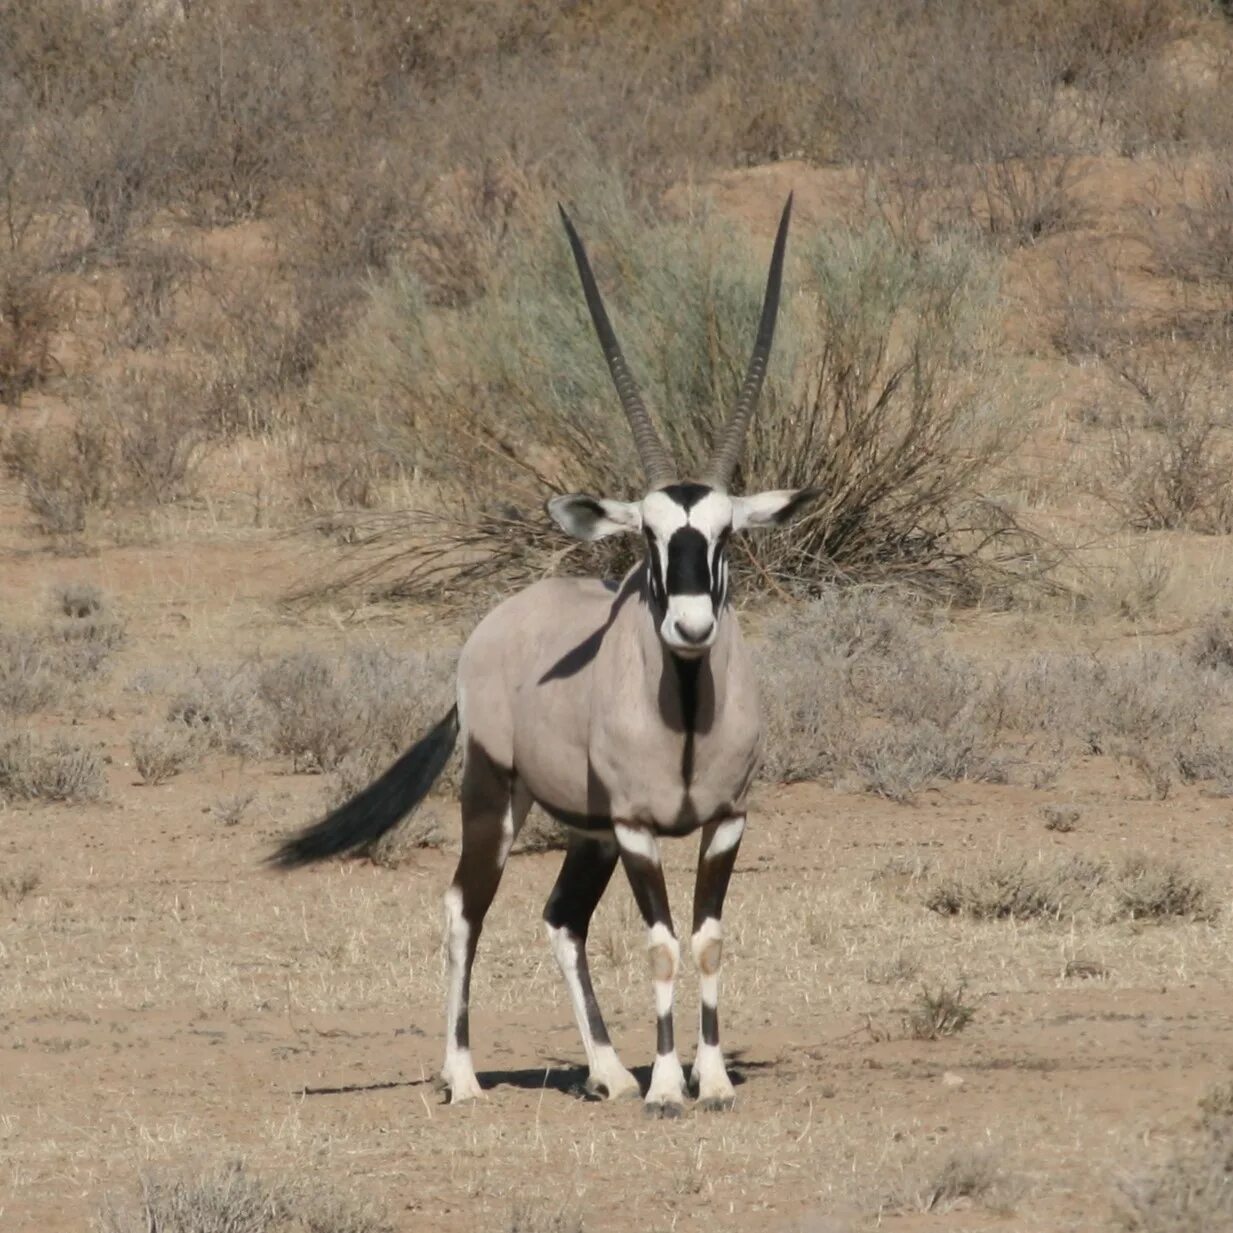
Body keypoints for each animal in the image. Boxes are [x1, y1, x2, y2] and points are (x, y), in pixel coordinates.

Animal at [278, 194, 818, 1119]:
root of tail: (492, 627)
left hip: (586, 827)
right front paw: (667, 1086)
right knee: (464, 909)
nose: (689, 628)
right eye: (647, 535)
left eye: (724, 537)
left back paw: (605, 1069)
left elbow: (706, 940)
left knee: (563, 916)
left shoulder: (723, 819)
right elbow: (661, 942)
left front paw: (708, 1078)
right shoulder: (638, 828)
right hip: (495, 793)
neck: (683, 709)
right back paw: (464, 1076)